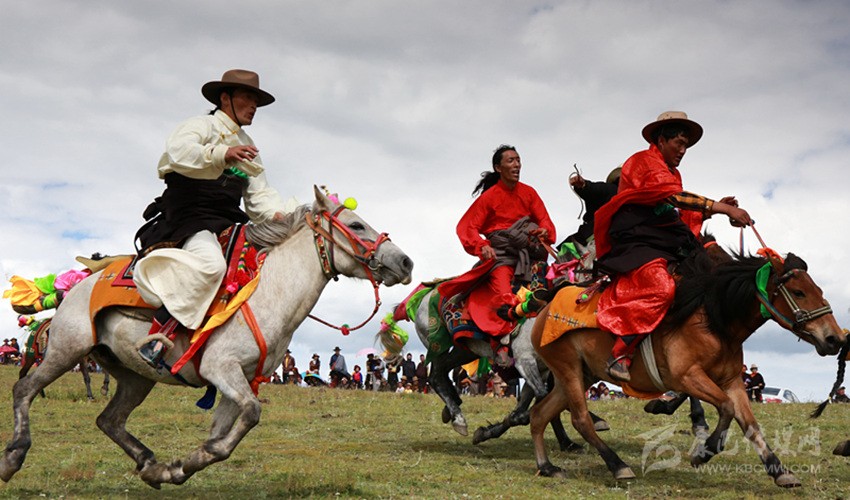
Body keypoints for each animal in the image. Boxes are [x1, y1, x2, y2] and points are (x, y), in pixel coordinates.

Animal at [0, 188, 410, 488]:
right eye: (356, 225)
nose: (405, 262)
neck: (269, 295)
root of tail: (77, 284)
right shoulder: (220, 367)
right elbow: (252, 413)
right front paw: (186, 463)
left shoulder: (239, 380)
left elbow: (227, 433)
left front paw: (182, 466)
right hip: (67, 349)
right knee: (25, 390)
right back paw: (13, 456)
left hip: (134, 377)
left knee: (109, 420)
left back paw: (150, 465)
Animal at [528, 252, 840, 486]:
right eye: (799, 292)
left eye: (819, 290)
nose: (835, 338)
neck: (714, 322)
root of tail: (544, 309)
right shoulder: (688, 377)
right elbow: (726, 408)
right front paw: (705, 452)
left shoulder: (732, 382)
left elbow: (750, 424)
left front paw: (779, 470)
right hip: (568, 368)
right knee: (580, 419)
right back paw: (617, 465)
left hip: (580, 375)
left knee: (539, 414)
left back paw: (547, 466)